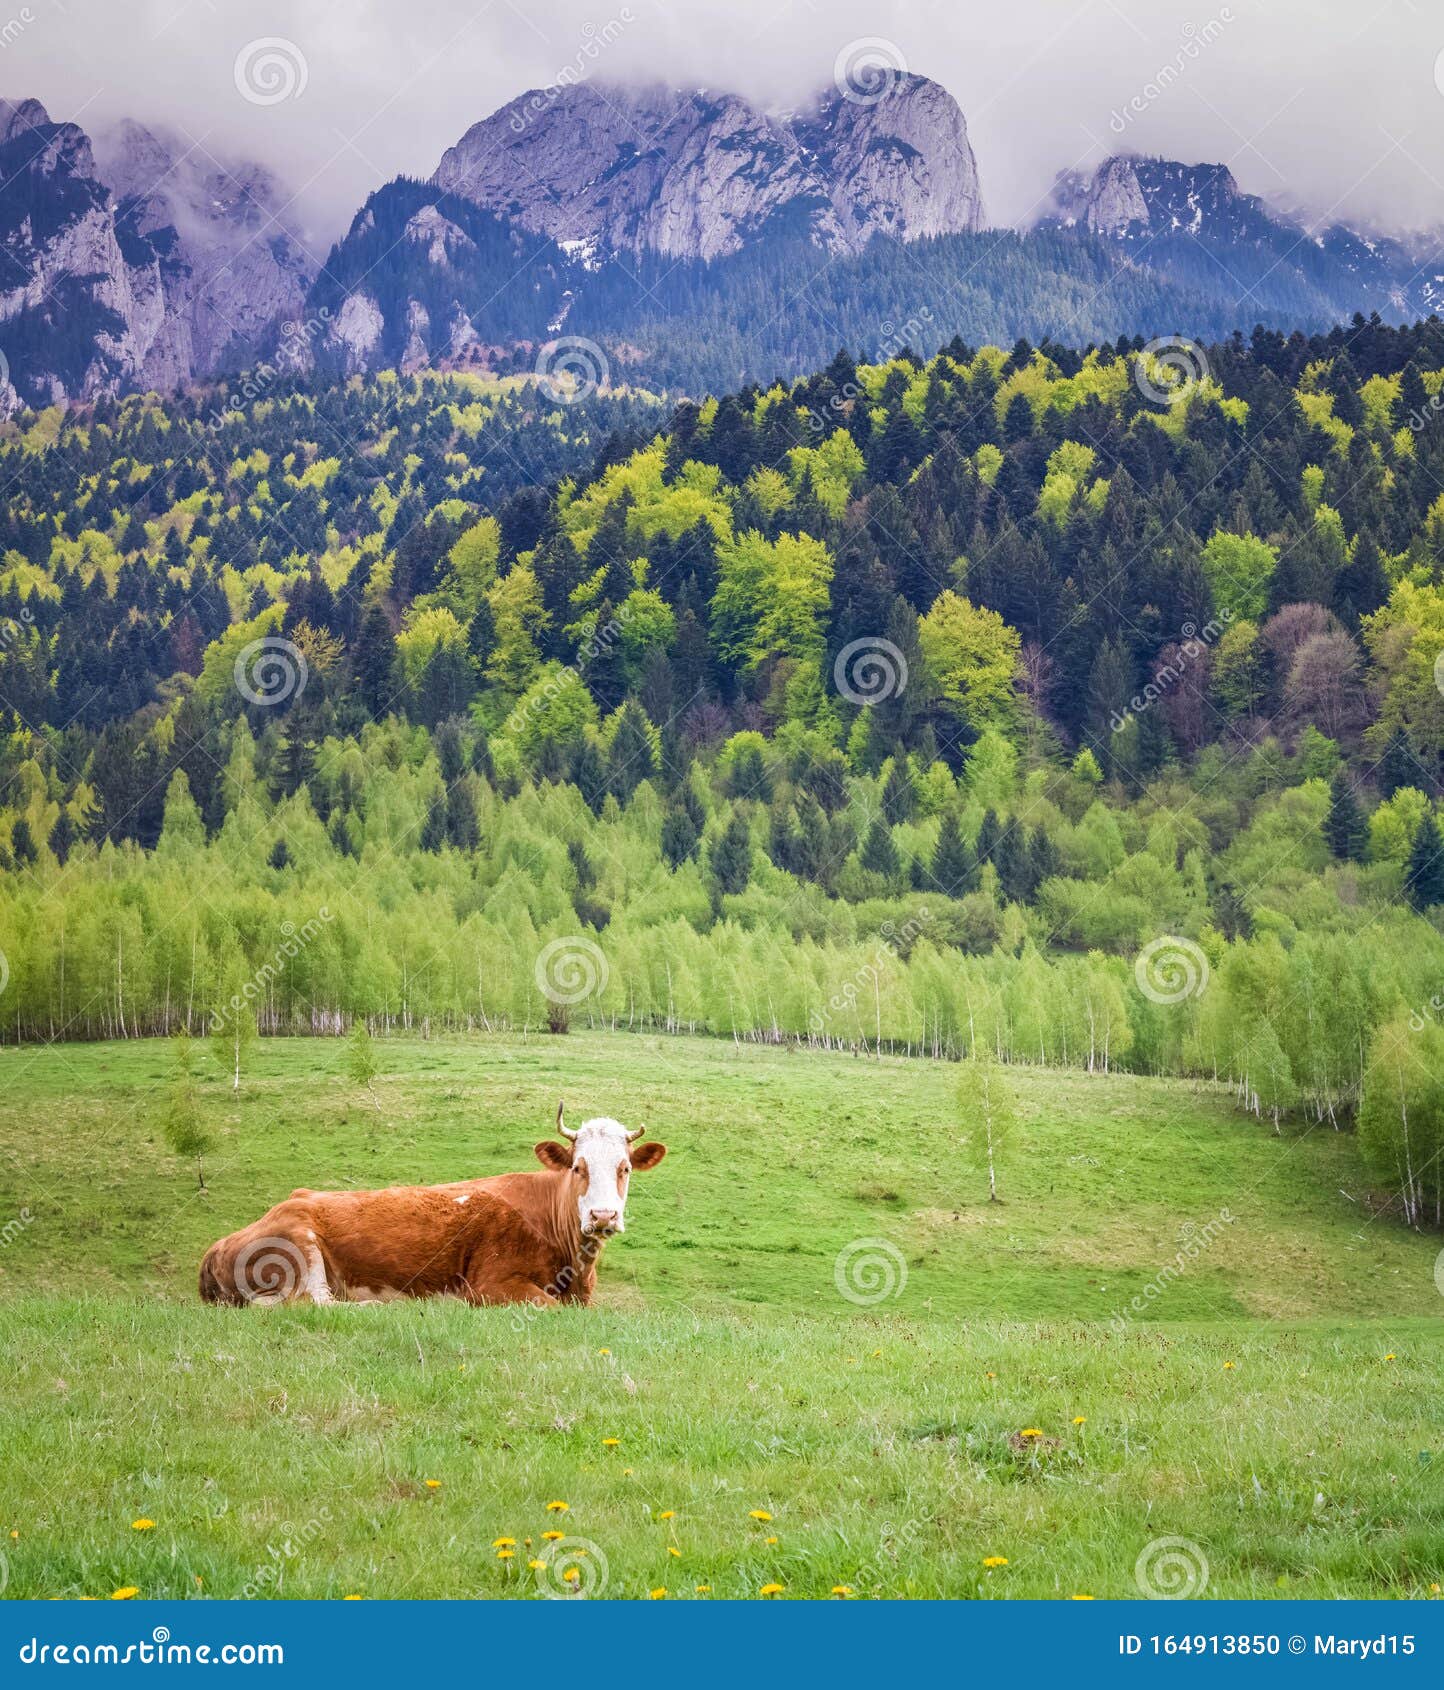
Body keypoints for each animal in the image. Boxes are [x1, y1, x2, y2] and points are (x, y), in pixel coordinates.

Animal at [196, 1101, 666, 1311]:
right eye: (578, 1167)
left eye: (624, 1168)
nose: (603, 1216)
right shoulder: (491, 1284)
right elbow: (545, 1306)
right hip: (299, 1244)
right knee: (314, 1303)